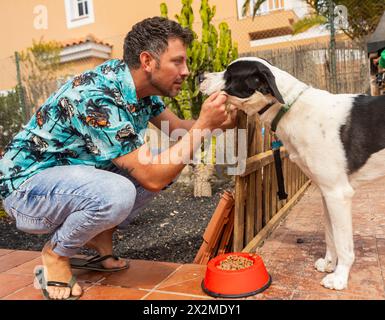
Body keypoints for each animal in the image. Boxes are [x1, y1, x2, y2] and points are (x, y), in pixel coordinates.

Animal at [200, 57, 384, 290]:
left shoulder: (338, 193)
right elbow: (330, 235)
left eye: (230, 75)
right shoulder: (326, 193)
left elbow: (343, 243)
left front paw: (340, 277)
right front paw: (329, 264)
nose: (199, 76)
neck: (291, 108)